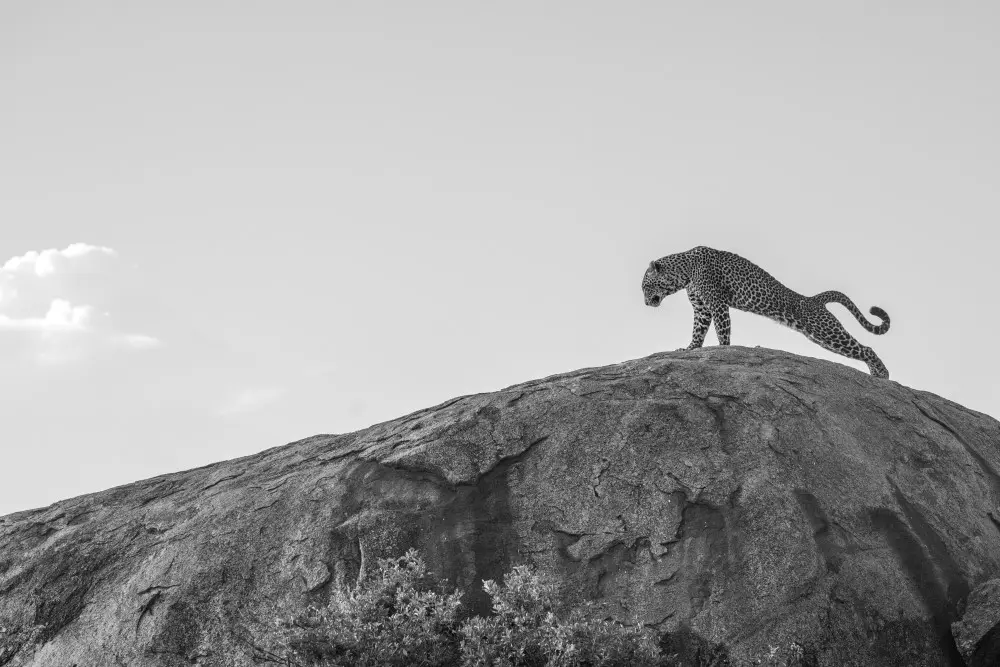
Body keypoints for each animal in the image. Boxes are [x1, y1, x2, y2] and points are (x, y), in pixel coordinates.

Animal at [641, 246, 891, 378]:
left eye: (645, 287)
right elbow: (697, 331)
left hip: (825, 330)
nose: (645, 303)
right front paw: (690, 348)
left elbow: (723, 332)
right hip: (819, 336)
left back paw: (882, 375)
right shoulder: (701, 309)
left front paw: (723, 350)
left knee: (866, 348)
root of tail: (813, 299)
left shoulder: (717, 304)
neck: (685, 272)